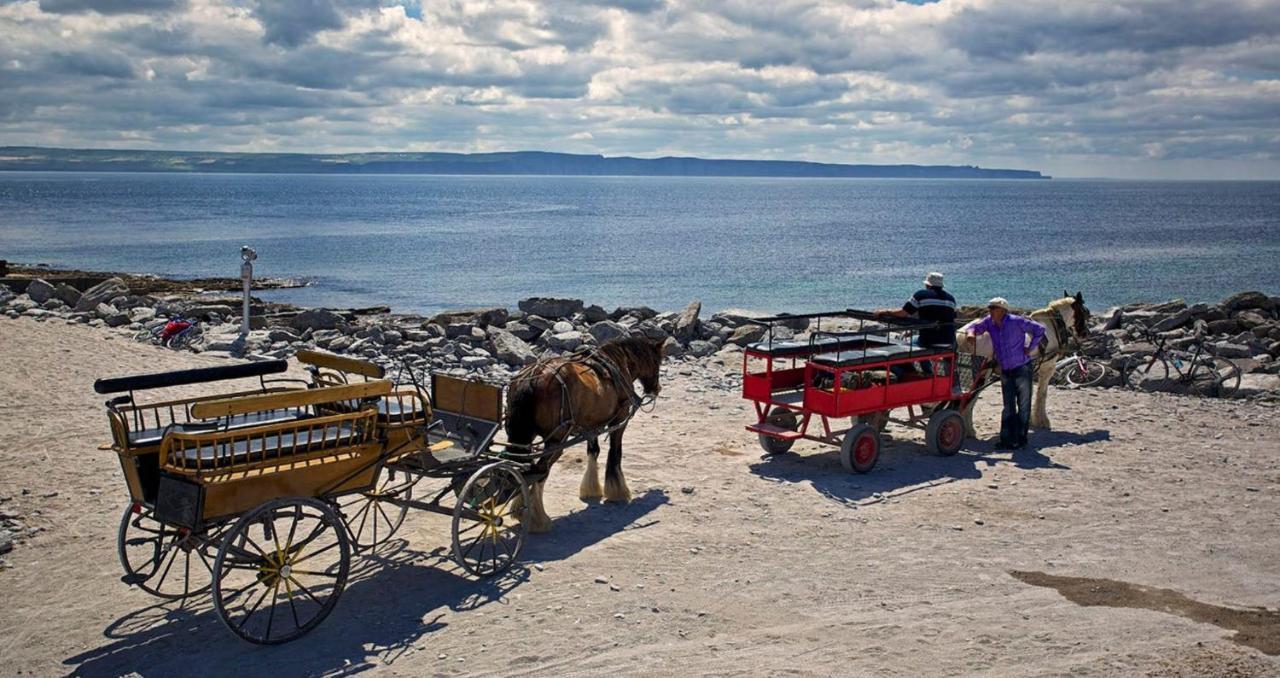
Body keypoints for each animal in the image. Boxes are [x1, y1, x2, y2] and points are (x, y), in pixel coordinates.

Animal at [501, 335, 660, 529]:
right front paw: (617, 491)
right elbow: (615, 453)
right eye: (658, 361)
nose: (657, 389)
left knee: (520, 467)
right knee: (539, 470)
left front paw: (591, 489)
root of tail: (532, 377)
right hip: (556, 441)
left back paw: (522, 509)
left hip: (523, 437)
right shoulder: (620, 419)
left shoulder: (590, 426)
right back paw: (537, 519)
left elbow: (593, 451)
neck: (618, 362)